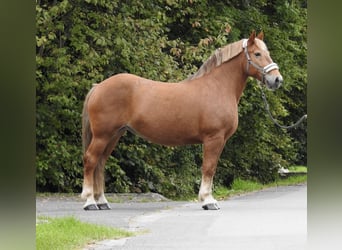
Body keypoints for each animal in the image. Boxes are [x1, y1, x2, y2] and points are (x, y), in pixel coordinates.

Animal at [80, 31, 284, 211]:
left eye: (268, 53)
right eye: (257, 54)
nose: (277, 80)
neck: (217, 87)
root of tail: (98, 86)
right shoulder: (214, 139)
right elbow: (209, 168)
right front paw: (208, 201)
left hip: (114, 135)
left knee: (100, 163)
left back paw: (102, 201)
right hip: (103, 135)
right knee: (91, 160)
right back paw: (90, 202)